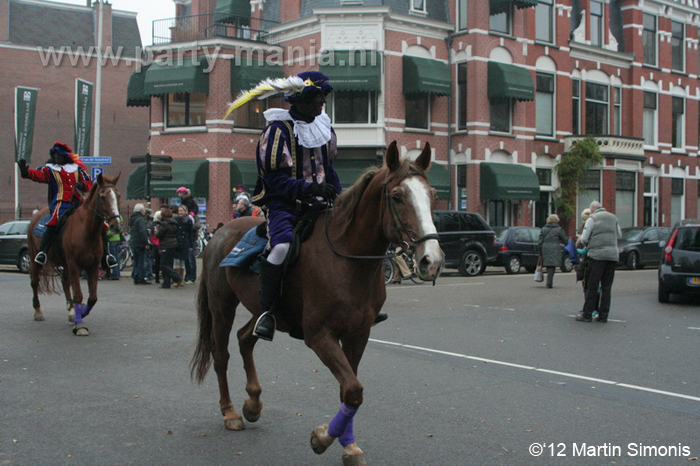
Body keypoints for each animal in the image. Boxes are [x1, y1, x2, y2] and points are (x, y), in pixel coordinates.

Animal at [27, 174, 122, 334]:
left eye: (118, 195)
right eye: (102, 197)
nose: (116, 226)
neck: (87, 230)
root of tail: (36, 214)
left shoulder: (92, 266)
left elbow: (92, 298)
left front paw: (80, 314)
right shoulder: (74, 265)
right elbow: (78, 295)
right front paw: (80, 325)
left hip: (65, 264)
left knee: (65, 283)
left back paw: (71, 311)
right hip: (36, 259)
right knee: (35, 282)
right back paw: (38, 311)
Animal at [190, 141, 442, 462]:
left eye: (432, 195)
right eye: (397, 197)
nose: (431, 260)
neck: (347, 260)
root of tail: (218, 234)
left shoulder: (358, 334)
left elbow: (350, 390)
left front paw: (347, 445)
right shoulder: (320, 336)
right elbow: (353, 389)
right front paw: (323, 438)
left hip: (262, 310)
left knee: (246, 338)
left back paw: (253, 404)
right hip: (222, 305)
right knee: (221, 355)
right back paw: (231, 413)